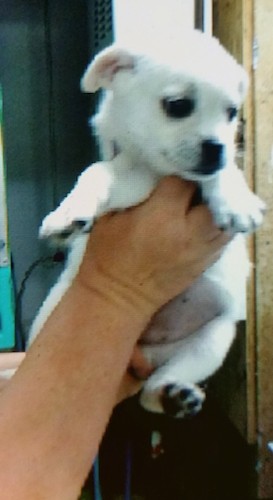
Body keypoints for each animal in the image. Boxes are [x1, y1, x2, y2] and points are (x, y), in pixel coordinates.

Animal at [28, 31, 262, 418]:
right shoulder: (132, 179)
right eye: (178, 106)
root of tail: (149, 351)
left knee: (154, 389)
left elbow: (227, 172)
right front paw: (67, 213)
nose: (217, 147)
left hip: (213, 337)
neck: (158, 170)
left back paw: (173, 394)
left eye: (231, 113)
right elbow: (96, 171)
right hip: (51, 317)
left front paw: (236, 199)